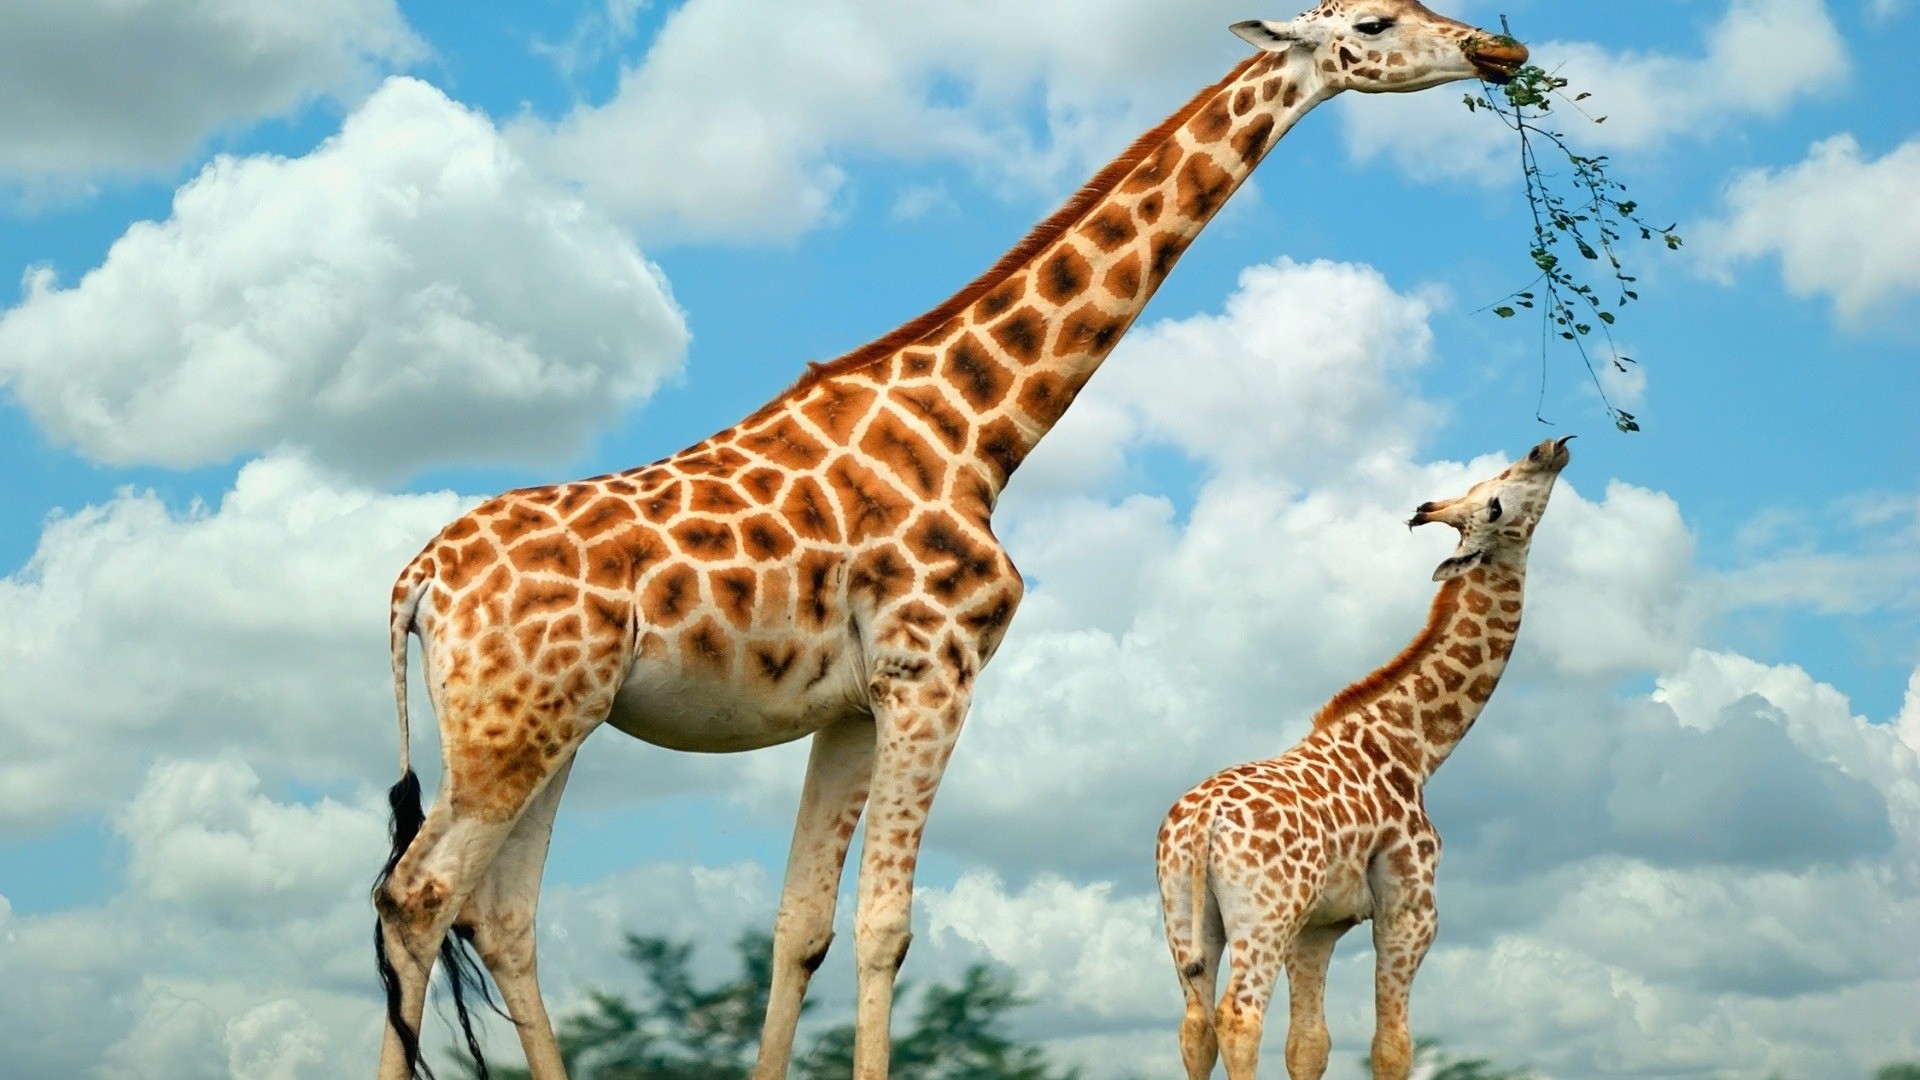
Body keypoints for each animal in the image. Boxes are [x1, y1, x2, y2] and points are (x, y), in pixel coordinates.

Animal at [371, 7, 1529, 1079]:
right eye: (1374, 20)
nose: (1498, 48)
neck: (979, 432)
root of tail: (417, 582)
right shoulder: (935, 672)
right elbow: (886, 927)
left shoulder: (851, 705)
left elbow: (801, 928)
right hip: (513, 728)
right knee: (417, 893)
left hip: (552, 726)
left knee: (498, 916)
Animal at [1153, 437, 1572, 1080]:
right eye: (1496, 502)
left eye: (1485, 485)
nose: (1547, 448)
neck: (1414, 747)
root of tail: (1202, 823)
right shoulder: (1410, 911)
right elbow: (1393, 1046)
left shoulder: (1318, 927)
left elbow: (1309, 1045)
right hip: (1263, 913)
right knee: (1239, 1018)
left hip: (1185, 914)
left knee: (1195, 1024)